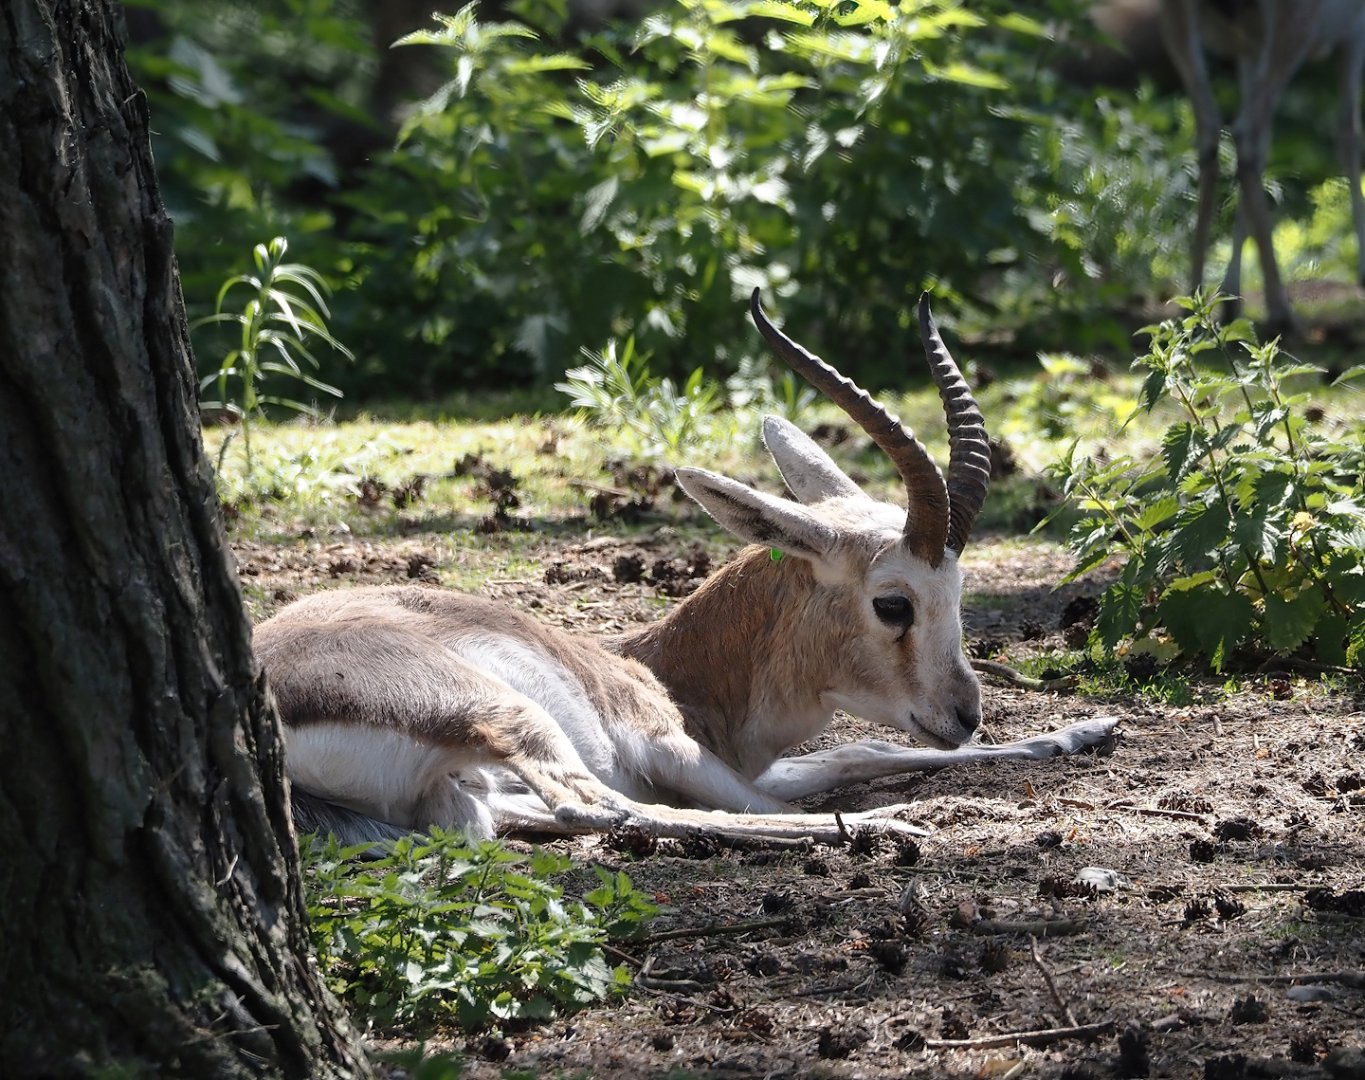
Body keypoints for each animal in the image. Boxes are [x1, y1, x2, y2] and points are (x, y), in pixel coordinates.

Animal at [255, 290, 1118, 847]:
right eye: (893, 603)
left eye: (959, 591)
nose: (962, 713)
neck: (668, 672)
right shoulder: (666, 747)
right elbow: (798, 783)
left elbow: (855, 752)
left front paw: (1083, 730)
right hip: (507, 715)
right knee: (601, 810)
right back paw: (888, 826)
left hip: (463, 786)